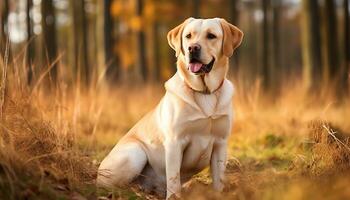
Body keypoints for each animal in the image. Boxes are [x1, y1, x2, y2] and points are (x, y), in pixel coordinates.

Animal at [95, 17, 243, 198]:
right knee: (108, 186)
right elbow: (173, 179)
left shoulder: (220, 143)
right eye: (188, 36)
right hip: (135, 153)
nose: (192, 48)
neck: (204, 92)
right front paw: (174, 197)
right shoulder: (174, 142)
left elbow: (218, 180)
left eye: (211, 36)